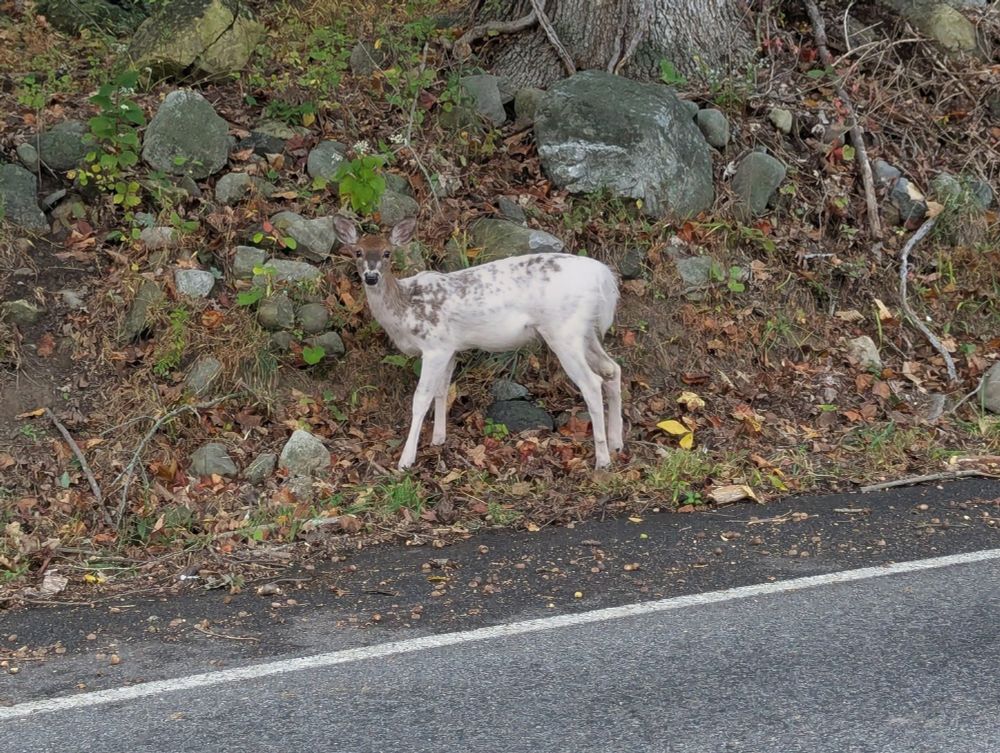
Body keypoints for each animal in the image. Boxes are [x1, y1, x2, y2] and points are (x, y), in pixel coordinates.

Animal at [333, 215, 623, 470]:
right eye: (358, 252)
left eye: (387, 253)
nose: (371, 277)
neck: (405, 310)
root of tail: (602, 275)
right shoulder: (450, 348)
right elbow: (442, 391)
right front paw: (438, 439)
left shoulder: (435, 345)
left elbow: (421, 397)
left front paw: (406, 459)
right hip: (584, 330)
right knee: (612, 369)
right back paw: (616, 442)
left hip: (563, 329)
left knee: (592, 382)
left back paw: (602, 459)